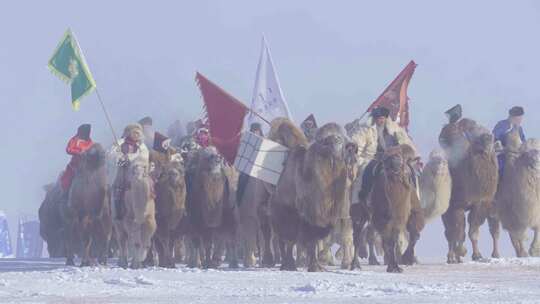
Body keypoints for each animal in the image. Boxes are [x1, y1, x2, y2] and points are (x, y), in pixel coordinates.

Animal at [438, 119, 498, 264]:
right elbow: (459, 231)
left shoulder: (480, 204)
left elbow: (473, 231)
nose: (488, 137)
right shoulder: (457, 206)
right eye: (473, 133)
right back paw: (452, 257)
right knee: (450, 232)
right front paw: (461, 252)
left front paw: (477, 255)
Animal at [496, 128, 540, 256]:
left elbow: (537, 229)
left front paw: (534, 250)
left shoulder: (535, 210)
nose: (536, 161)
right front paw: (525, 252)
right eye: (526, 153)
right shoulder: (511, 216)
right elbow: (518, 236)